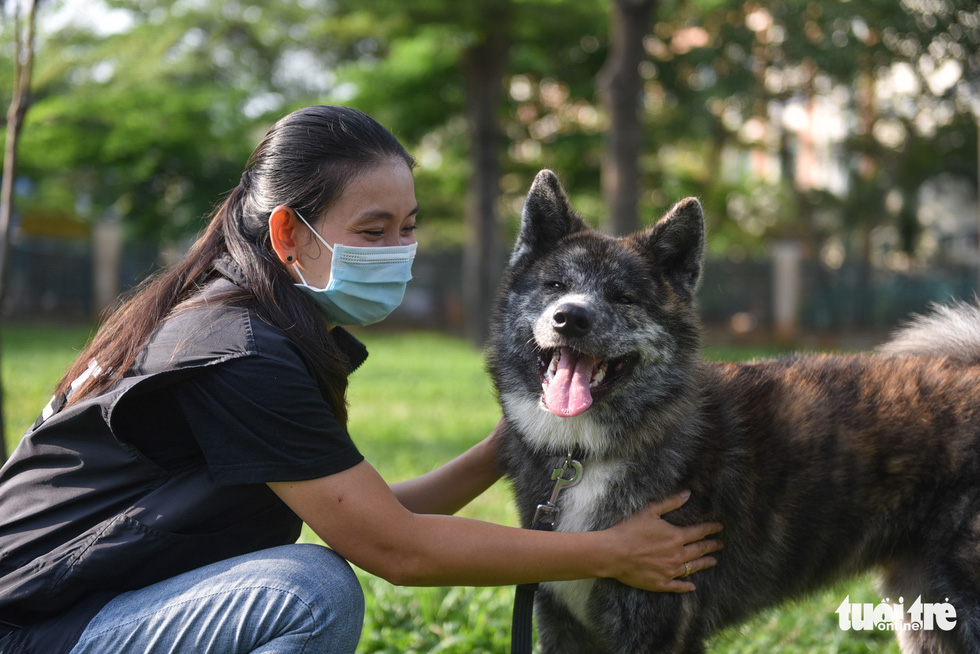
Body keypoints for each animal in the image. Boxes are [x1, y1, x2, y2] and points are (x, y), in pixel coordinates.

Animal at [488, 170, 980, 654]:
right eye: (555, 286)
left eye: (623, 298)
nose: (570, 318)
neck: (586, 454)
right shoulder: (562, 625)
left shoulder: (659, 626)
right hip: (926, 614)